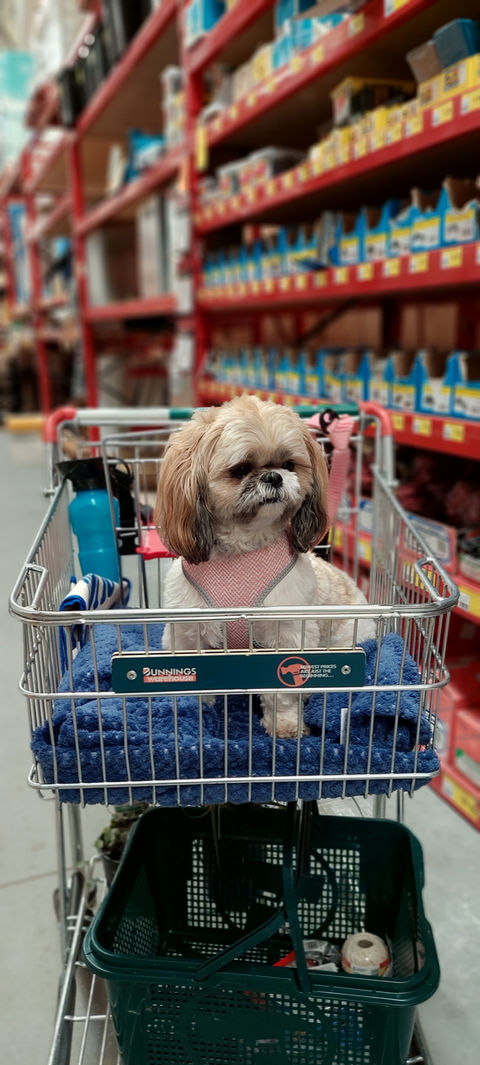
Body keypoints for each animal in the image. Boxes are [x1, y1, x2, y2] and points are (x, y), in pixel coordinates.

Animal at [155, 395, 374, 738]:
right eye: (241, 469)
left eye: (289, 465)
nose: (273, 476)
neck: (243, 550)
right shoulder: (187, 631)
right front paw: (193, 714)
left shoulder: (287, 634)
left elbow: (282, 691)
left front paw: (284, 724)